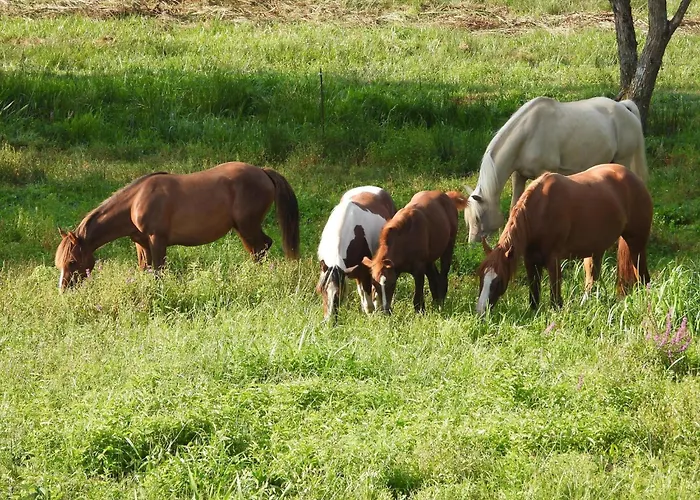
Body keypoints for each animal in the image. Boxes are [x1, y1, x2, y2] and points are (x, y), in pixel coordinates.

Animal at [55, 162, 300, 291]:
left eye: (72, 261)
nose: (63, 290)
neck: (135, 201)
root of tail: (263, 171)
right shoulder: (141, 244)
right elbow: (145, 269)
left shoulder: (157, 240)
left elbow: (159, 271)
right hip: (243, 229)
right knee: (259, 250)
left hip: (247, 227)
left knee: (262, 247)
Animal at [464, 96, 648, 243]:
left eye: (478, 217)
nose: (472, 243)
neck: (528, 135)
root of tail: (623, 107)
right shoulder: (519, 176)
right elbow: (514, 207)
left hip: (623, 160)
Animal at [475, 163, 652, 315]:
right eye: (481, 277)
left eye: (498, 281)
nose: (480, 311)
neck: (540, 210)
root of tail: (635, 178)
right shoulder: (530, 261)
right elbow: (534, 298)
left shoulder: (553, 260)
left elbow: (555, 300)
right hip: (594, 251)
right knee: (592, 280)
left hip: (636, 245)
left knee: (643, 277)